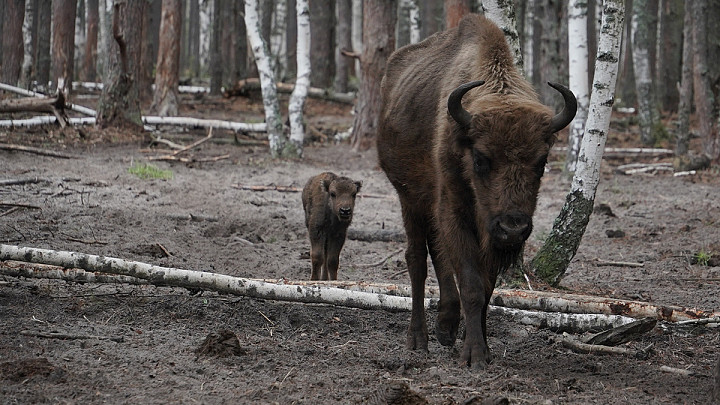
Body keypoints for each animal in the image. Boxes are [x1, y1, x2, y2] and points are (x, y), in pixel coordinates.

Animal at [374, 14, 576, 368]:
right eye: (481, 158)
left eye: (541, 161)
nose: (513, 227)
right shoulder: (454, 210)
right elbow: (470, 283)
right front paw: (475, 355)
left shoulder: (487, 232)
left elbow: (486, 286)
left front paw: (480, 344)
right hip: (408, 197)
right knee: (417, 259)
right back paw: (419, 339)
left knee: (437, 253)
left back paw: (446, 327)